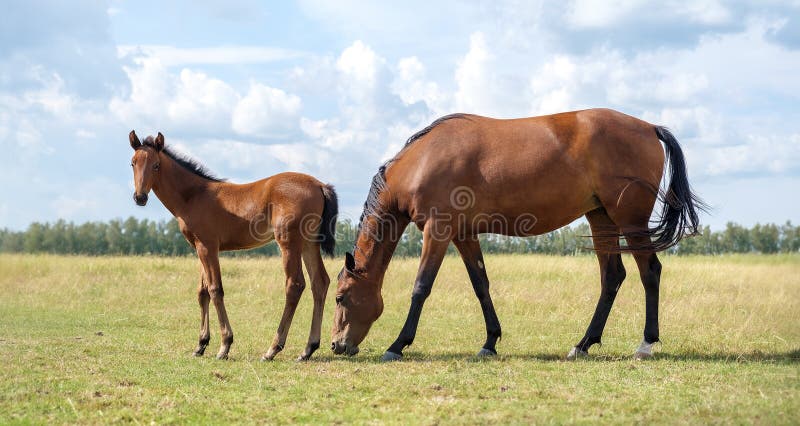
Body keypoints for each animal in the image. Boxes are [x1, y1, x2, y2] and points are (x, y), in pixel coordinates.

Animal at [127, 131, 338, 360]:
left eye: (156, 165)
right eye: (133, 163)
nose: (140, 197)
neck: (194, 195)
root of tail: (320, 185)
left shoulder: (208, 247)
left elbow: (215, 290)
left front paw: (224, 346)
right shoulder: (200, 248)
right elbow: (202, 292)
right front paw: (200, 345)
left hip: (289, 243)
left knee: (295, 285)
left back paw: (272, 349)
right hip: (309, 243)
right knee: (320, 282)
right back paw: (308, 349)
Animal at [328, 108, 704, 362]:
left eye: (341, 297)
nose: (336, 345)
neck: (423, 161)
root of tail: (650, 128)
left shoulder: (438, 230)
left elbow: (421, 287)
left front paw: (397, 345)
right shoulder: (464, 234)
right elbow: (481, 285)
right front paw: (489, 342)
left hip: (630, 219)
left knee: (649, 272)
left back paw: (646, 344)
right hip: (601, 218)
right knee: (612, 277)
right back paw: (583, 344)